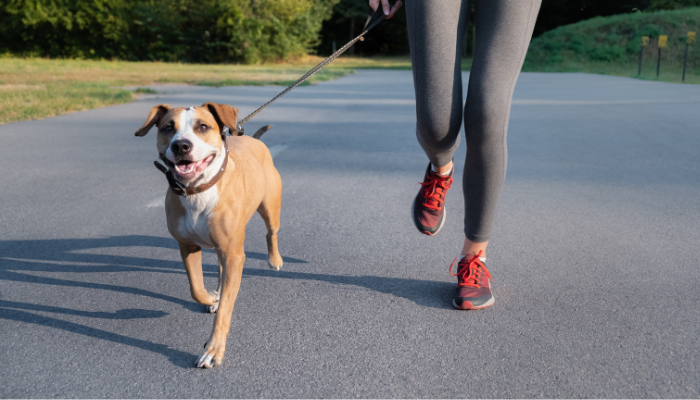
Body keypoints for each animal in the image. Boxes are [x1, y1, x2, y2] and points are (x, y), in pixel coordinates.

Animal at [134, 102, 282, 368]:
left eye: (202, 126)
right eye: (168, 128)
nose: (181, 145)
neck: (197, 191)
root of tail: (253, 141)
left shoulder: (234, 254)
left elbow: (225, 310)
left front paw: (214, 350)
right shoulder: (188, 246)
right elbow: (196, 288)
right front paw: (212, 298)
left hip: (270, 208)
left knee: (271, 233)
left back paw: (275, 260)